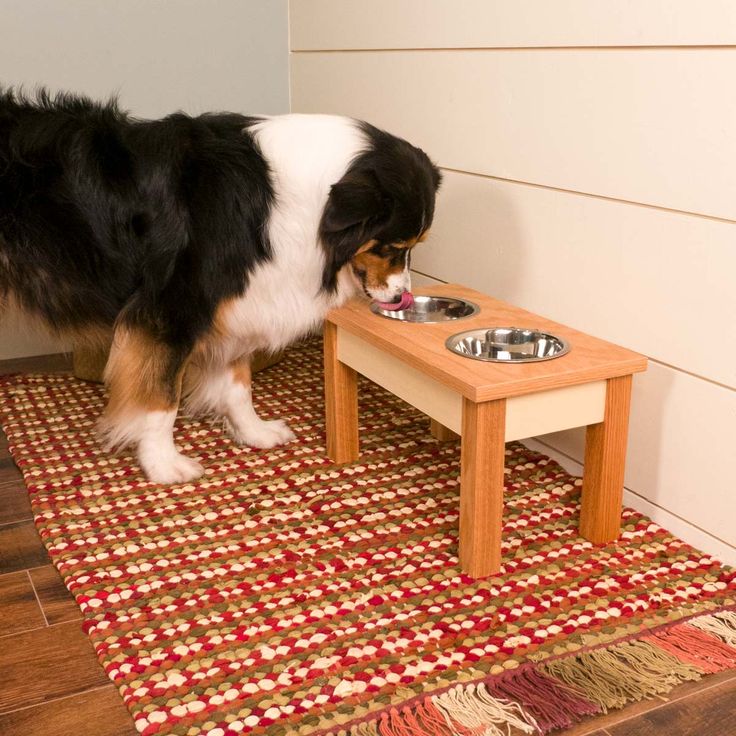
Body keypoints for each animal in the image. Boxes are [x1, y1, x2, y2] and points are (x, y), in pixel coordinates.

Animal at [0, 89, 440, 484]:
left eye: (417, 244)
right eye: (393, 246)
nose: (401, 297)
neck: (294, 203)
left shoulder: (240, 301)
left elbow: (238, 384)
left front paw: (254, 432)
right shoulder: (170, 312)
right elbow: (161, 399)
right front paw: (163, 465)